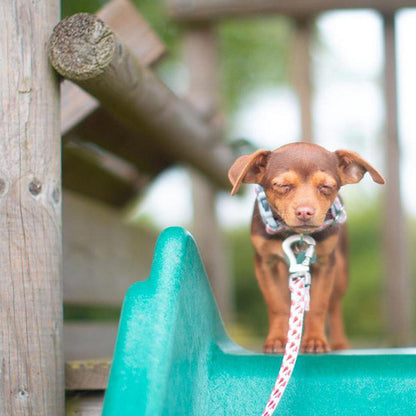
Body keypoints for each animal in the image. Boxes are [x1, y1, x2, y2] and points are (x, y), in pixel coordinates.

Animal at [229, 143, 386, 354]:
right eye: (282, 186)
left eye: (326, 186)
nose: (305, 212)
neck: (296, 235)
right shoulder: (265, 264)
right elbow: (276, 304)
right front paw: (277, 340)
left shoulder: (326, 264)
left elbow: (319, 305)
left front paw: (314, 340)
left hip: (340, 272)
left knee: (334, 306)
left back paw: (339, 343)